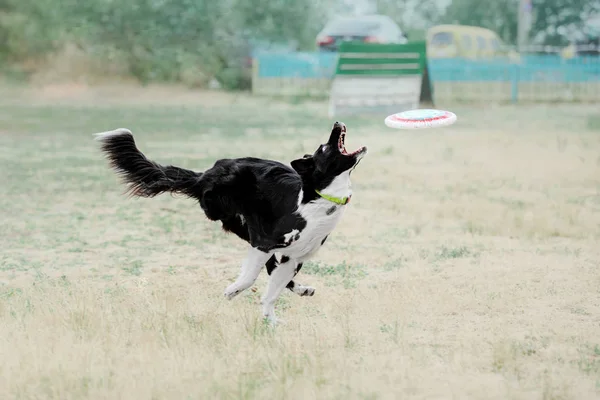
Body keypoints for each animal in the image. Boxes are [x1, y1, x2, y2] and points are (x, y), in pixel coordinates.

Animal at [95, 121, 366, 322]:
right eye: (324, 148)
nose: (337, 123)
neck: (318, 199)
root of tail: (206, 174)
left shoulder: (293, 257)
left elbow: (273, 291)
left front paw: (270, 321)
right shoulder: (265, 241)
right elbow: (251, 278)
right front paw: (232, 291)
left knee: (273, 269)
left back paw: (302, 289)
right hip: (238, 221)